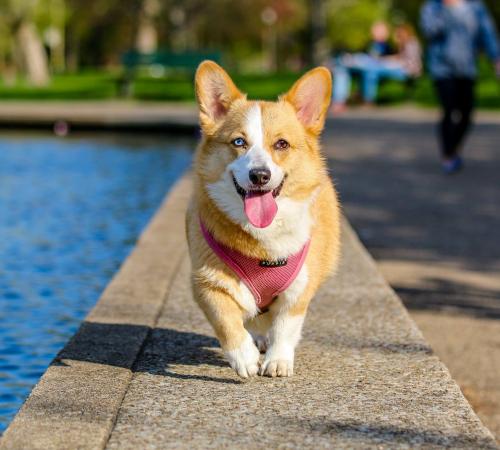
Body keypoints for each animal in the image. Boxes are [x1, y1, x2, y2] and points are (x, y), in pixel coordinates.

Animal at [186, 59, 342, 376]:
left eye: (281, 144)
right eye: (238, 142)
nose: (260, 175)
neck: (262, 240)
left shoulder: (299, 289)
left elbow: (285, 326)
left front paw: (278, 360)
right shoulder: (206, 282)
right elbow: (226, 320)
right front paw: (243, 357)